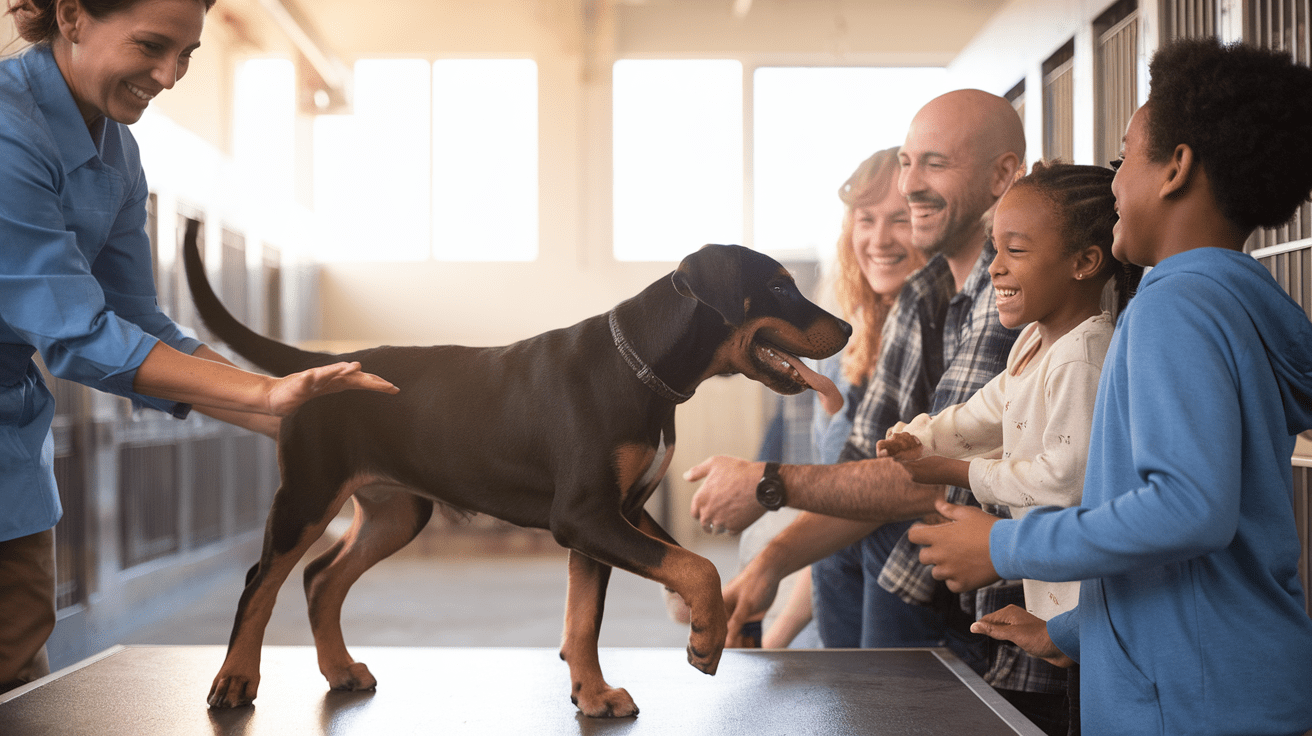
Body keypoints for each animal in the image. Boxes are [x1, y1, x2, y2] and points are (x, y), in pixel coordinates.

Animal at [187, 220, 850, 713]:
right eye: (780, 287)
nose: (846, 327)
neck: (642, 369)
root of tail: (321, 365)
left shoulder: (614, 517)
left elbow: (589, 615)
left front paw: (594, 694)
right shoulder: (583, 516)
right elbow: (697, 567)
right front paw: (706, 640)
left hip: (395, 512)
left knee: (322, 577)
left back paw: (340, 668)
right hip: (307, 493)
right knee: (262, 581)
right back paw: (236, 679)